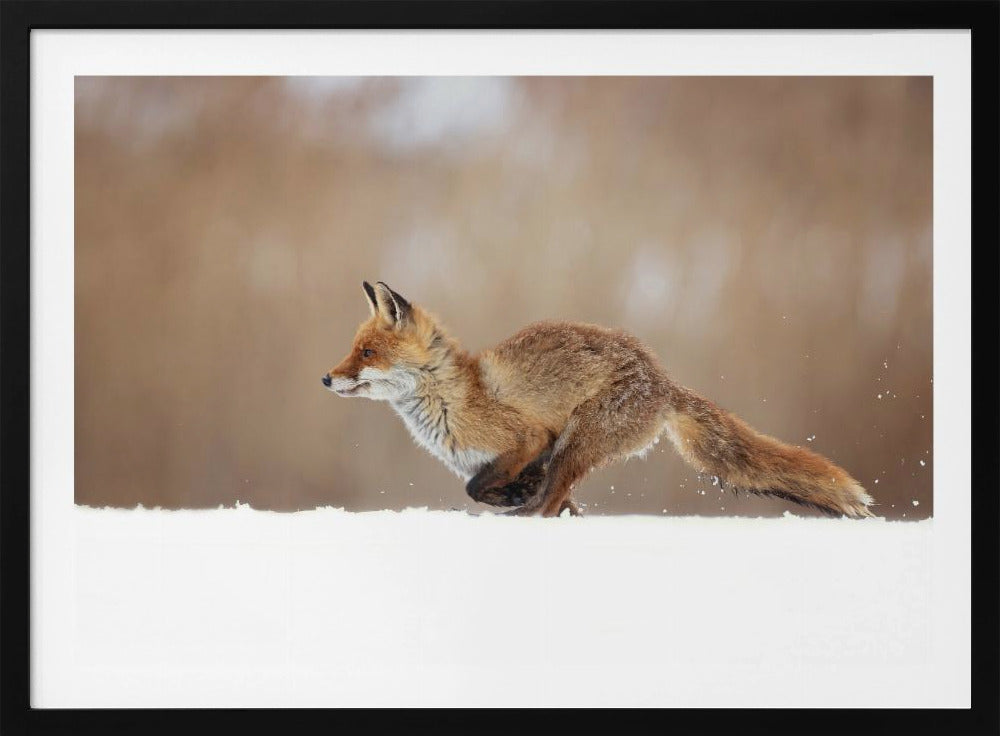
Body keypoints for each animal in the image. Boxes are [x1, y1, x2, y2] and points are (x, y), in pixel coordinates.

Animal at [322, 281, 874, 519]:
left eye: (367, 352)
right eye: (353, 348)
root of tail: (663, 379)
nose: (326, 379)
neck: (451, 399)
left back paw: (525, 515)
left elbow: (477, 487)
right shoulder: (519, 457)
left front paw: (510, 501)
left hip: (576, 441)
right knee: (556, 498)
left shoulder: (530, 437)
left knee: (548, 503)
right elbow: (497, 487)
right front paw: (515, 496)